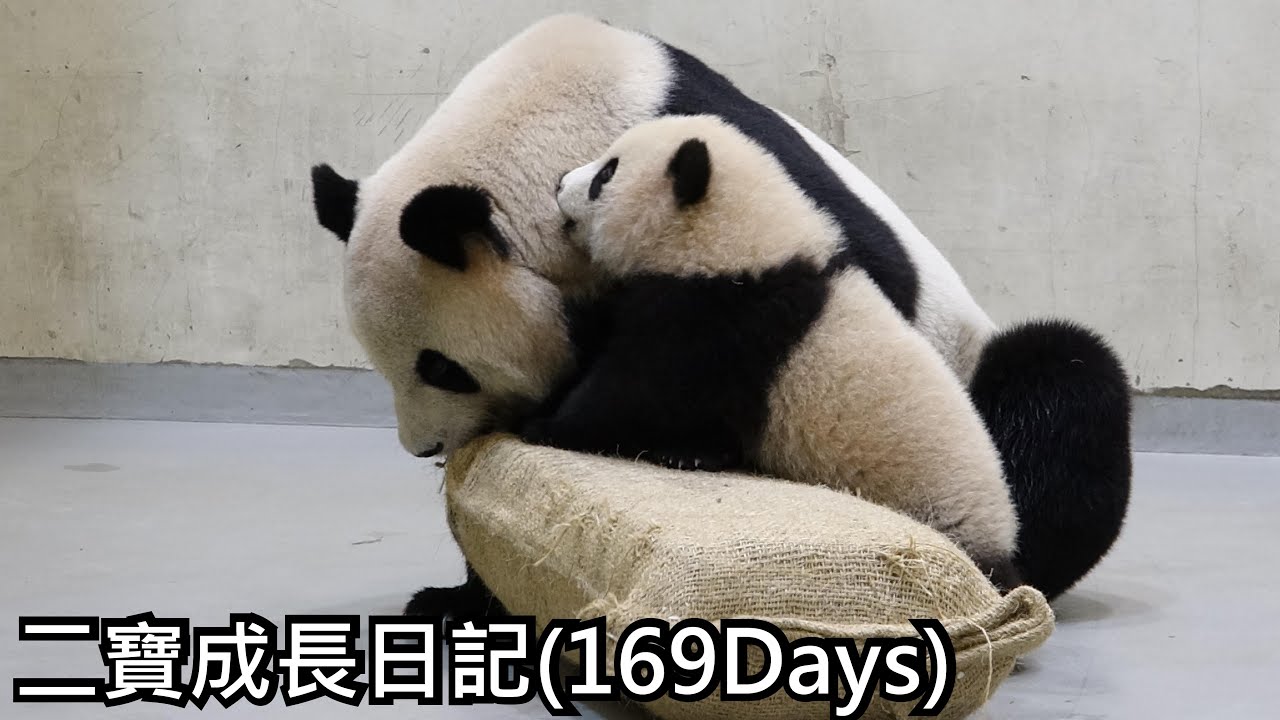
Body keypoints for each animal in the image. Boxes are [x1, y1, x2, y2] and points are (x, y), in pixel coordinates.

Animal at [309, 15, 1130, 605]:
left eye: (443, 367)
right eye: (383, 366)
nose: (425, 448)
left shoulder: (749, 201)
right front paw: (460, 598)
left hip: (978, 362)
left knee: (1062, 380)